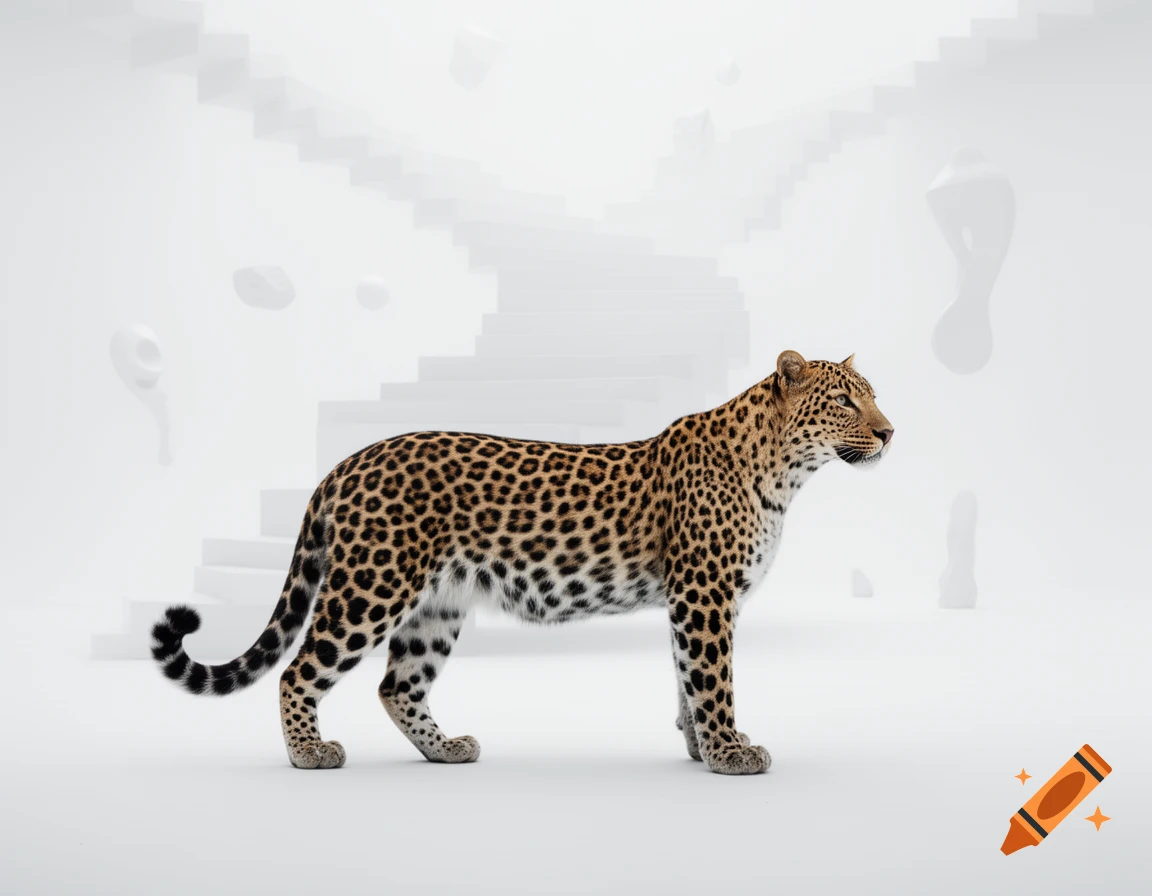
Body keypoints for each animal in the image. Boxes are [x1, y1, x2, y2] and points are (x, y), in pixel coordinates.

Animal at [151, 350, 893, 775]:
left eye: (873, 393)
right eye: (844, 400)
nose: (890, 432)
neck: (785, 470)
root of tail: (346, 463)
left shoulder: (692, 599)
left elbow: (686, 678)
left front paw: (698, 748)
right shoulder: (705, 593)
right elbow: (714, 677)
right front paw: (731, 752)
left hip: (437, 604)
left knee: (397, 686)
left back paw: (446, 750)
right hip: (371, 585)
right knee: (299, 668)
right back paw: (309, 753)